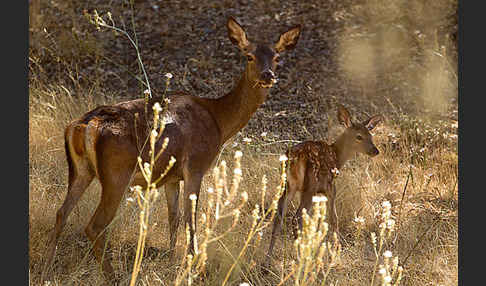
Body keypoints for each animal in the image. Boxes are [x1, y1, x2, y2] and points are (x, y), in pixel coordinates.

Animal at [41, 16, 300, 282]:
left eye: (276, 57)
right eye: (248, 56)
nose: (268, 75)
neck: (219, 121)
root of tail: (84, 125)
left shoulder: (171, 177)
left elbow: (173, 218)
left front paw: (171, 259)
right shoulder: (195, 166)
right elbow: (190, 220)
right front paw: (192, 266)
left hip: (80, 170)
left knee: (62, 212)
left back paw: (46, 268)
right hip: (116, 174)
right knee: (95, 225)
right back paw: (112, 276)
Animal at [266, 104, 384, 258]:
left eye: (371, 136)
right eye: (359, 136)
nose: (375, 151)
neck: (337, 158)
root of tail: (293, 157)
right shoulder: (330, 187)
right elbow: (334, 218)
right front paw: (337, 250)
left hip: (288, 185)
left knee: (278, 217)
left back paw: (268, 258)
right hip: (309, 186)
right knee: (296, 218)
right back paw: (300, 255)